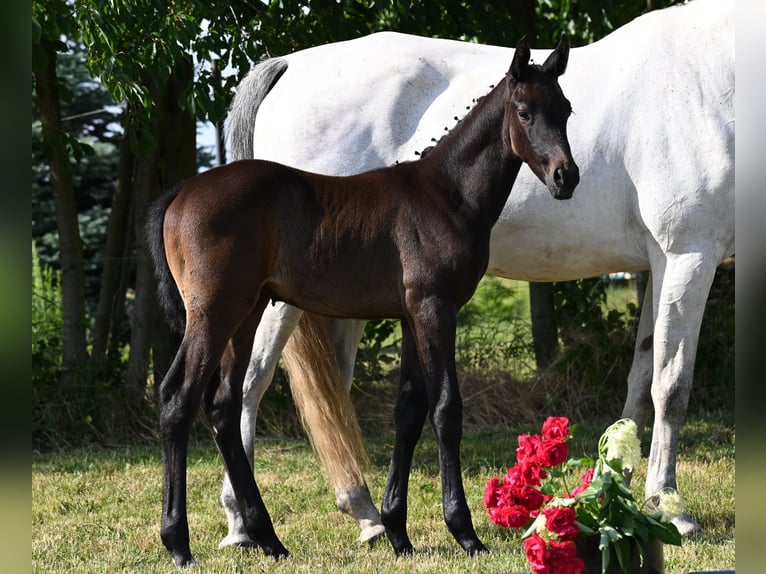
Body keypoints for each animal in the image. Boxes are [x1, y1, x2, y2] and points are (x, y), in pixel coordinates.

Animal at [219, 0, 736, 552]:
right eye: (525, 113)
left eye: (569, 111)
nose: (566, 177)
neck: (712, 78)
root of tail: (290, 65)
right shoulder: (689, 254)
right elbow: (672, 387)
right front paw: (673, 509)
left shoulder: (660, 263)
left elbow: (641, 380)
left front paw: (618, 492)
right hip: (276, 300)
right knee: (249, 383)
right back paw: (242, 523)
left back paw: (366, 516)